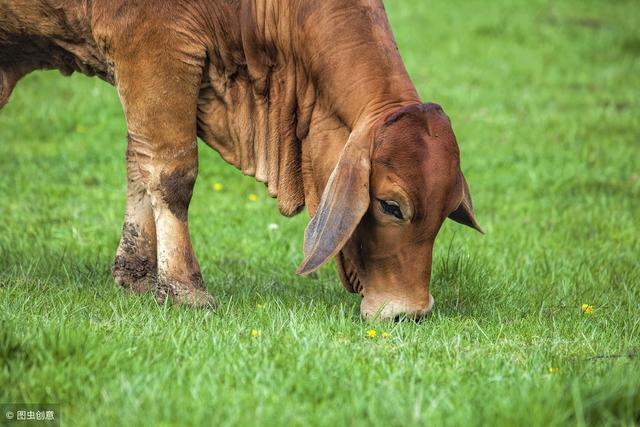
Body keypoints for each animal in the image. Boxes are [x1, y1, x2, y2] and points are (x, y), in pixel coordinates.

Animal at [0, 0, 480, 320]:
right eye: (391, 206)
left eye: (445, 214)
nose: (411, 311)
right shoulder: (152, 46)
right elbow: (171, 173)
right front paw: (185, 289)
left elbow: (138, 165)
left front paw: (137, 276)